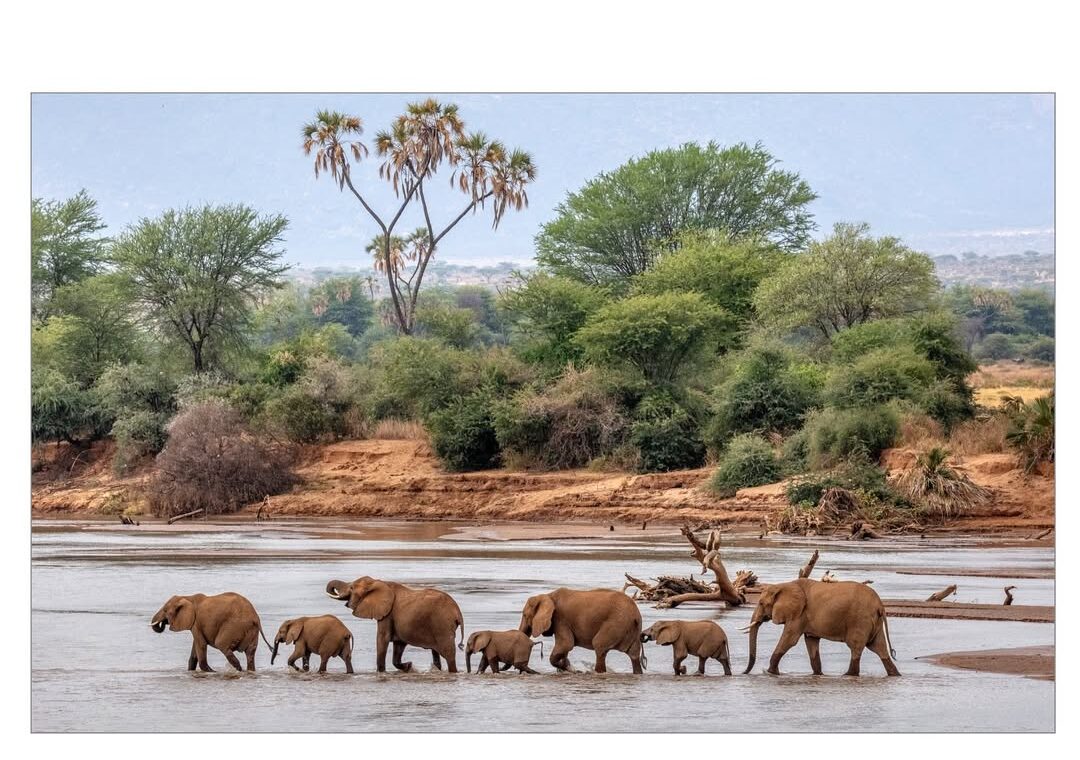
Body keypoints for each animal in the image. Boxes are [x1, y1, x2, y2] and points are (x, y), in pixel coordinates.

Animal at [326, 577, 464, 673]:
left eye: (352, 588)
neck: (377, 582)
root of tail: (457, 612)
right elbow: (399, 645)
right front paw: (408, 666)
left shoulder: (387, 614)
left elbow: (383, 638)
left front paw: (381, 672)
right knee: (436, 653)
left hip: (443, 626)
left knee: (449, 654)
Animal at [743, 578, 900, 676]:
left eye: (761, 603)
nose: (743, 673)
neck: (783, 585)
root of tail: (880, 605)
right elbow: (811, 642)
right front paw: (818, 674)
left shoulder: (799, 614)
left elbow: (789, 639)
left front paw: (770, 672)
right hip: (874, 623)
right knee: (879, 649)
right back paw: (895, 675)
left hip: (860, 620)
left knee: (856, 647)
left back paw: (848, 675)